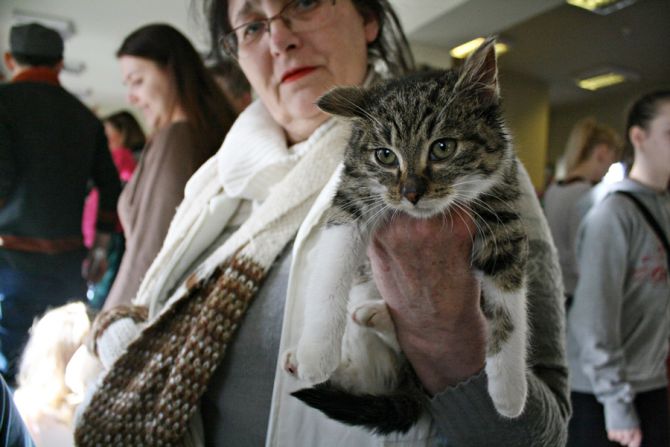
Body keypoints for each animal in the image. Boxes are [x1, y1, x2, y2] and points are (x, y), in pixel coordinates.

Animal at [284, 36, 532, 436]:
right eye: (385, 156)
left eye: (443, 147)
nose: (411, 193)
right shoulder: (351, 197)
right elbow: (331, 269)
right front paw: (317, 352)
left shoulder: (502, 210)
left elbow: (508, 303)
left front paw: (509, 391)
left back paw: (377, 318)